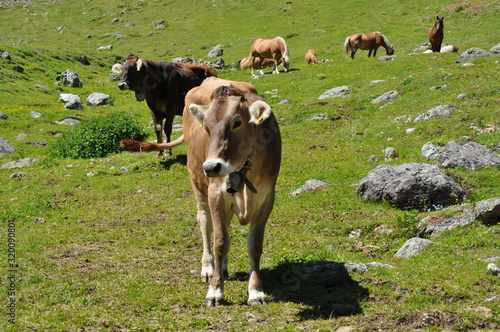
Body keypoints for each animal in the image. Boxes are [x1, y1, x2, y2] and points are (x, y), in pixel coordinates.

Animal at [121, 77, 282, 306]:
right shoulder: (215, 193)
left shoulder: (267, 198)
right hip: (198, 186)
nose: (211, 167)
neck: (243, 170)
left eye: (237, 122)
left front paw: (255, 292)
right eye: (207, 127)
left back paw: (223, 268)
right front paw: (215, 291)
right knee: (205, 223)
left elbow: (254, 246)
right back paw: (208, 268)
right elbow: (220, 243)